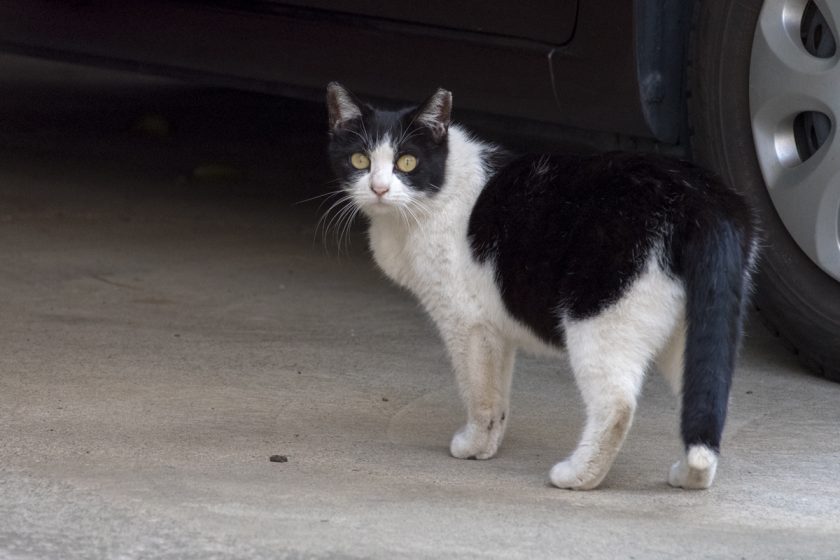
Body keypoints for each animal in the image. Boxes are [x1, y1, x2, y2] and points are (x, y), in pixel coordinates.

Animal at [324, 83, 756, 490]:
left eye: (407, 162)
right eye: (360, 160)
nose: (379, 189)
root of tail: (701, 199)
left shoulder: (466, 323)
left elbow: (478, 392)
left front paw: (473, 445)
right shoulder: (494, 330)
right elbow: (498, 392)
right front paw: (489, 447)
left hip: (598, 318)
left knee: (617, 405)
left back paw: (578, 476)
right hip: (693, 332)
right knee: (709, 394)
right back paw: (691, 475)